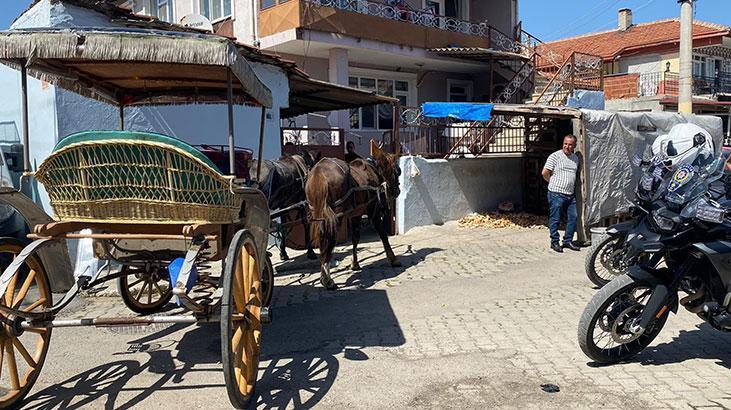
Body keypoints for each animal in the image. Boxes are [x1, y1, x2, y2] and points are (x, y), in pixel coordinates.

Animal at [306, 143, 404, 290]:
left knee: (324, 240)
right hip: (336, 217)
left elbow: (355, 238)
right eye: (397, 171)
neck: (373, 170)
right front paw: (393, 259)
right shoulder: (373, 209)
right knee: (330, 241)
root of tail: (319, 172)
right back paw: (327, 279)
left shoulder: (355, 215)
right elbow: (383, 235)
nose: (397, 191)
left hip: (318, 215)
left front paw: (355, 263)